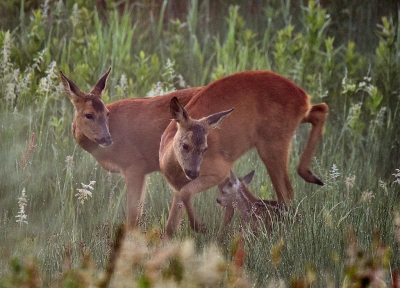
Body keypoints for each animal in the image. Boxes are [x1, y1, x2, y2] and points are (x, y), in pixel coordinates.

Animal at [159, 70, 328, 236]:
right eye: (185, 145)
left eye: (205, 148)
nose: (193, 173)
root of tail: (302, 96)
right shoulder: (178, 187)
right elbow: (170, 225)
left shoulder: (220, 170)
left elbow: (190, 194)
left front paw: (201, 227)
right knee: (320, 109)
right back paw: (312, 176)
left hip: (273, 142)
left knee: (286, 192)